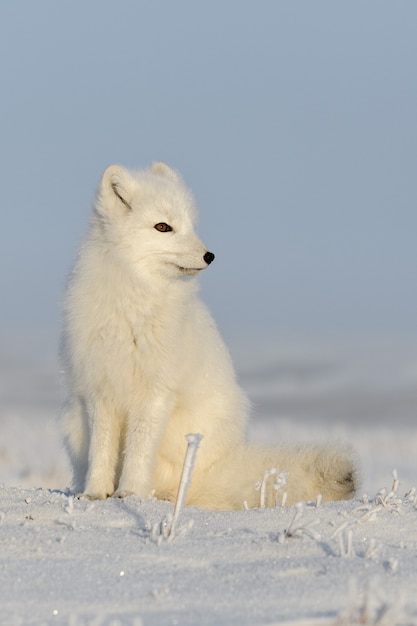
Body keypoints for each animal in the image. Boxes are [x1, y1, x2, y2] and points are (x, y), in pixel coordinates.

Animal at [60, 161, 356, 508]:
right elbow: (101, 451)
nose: (209, 256)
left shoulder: (156, 392)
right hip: (71, 420)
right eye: (163, 227)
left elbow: (139, 452)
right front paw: (95, 493)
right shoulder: (99, 390)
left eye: (191, 226)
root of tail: (220, 470)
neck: (134, 301)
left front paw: (130, 493)